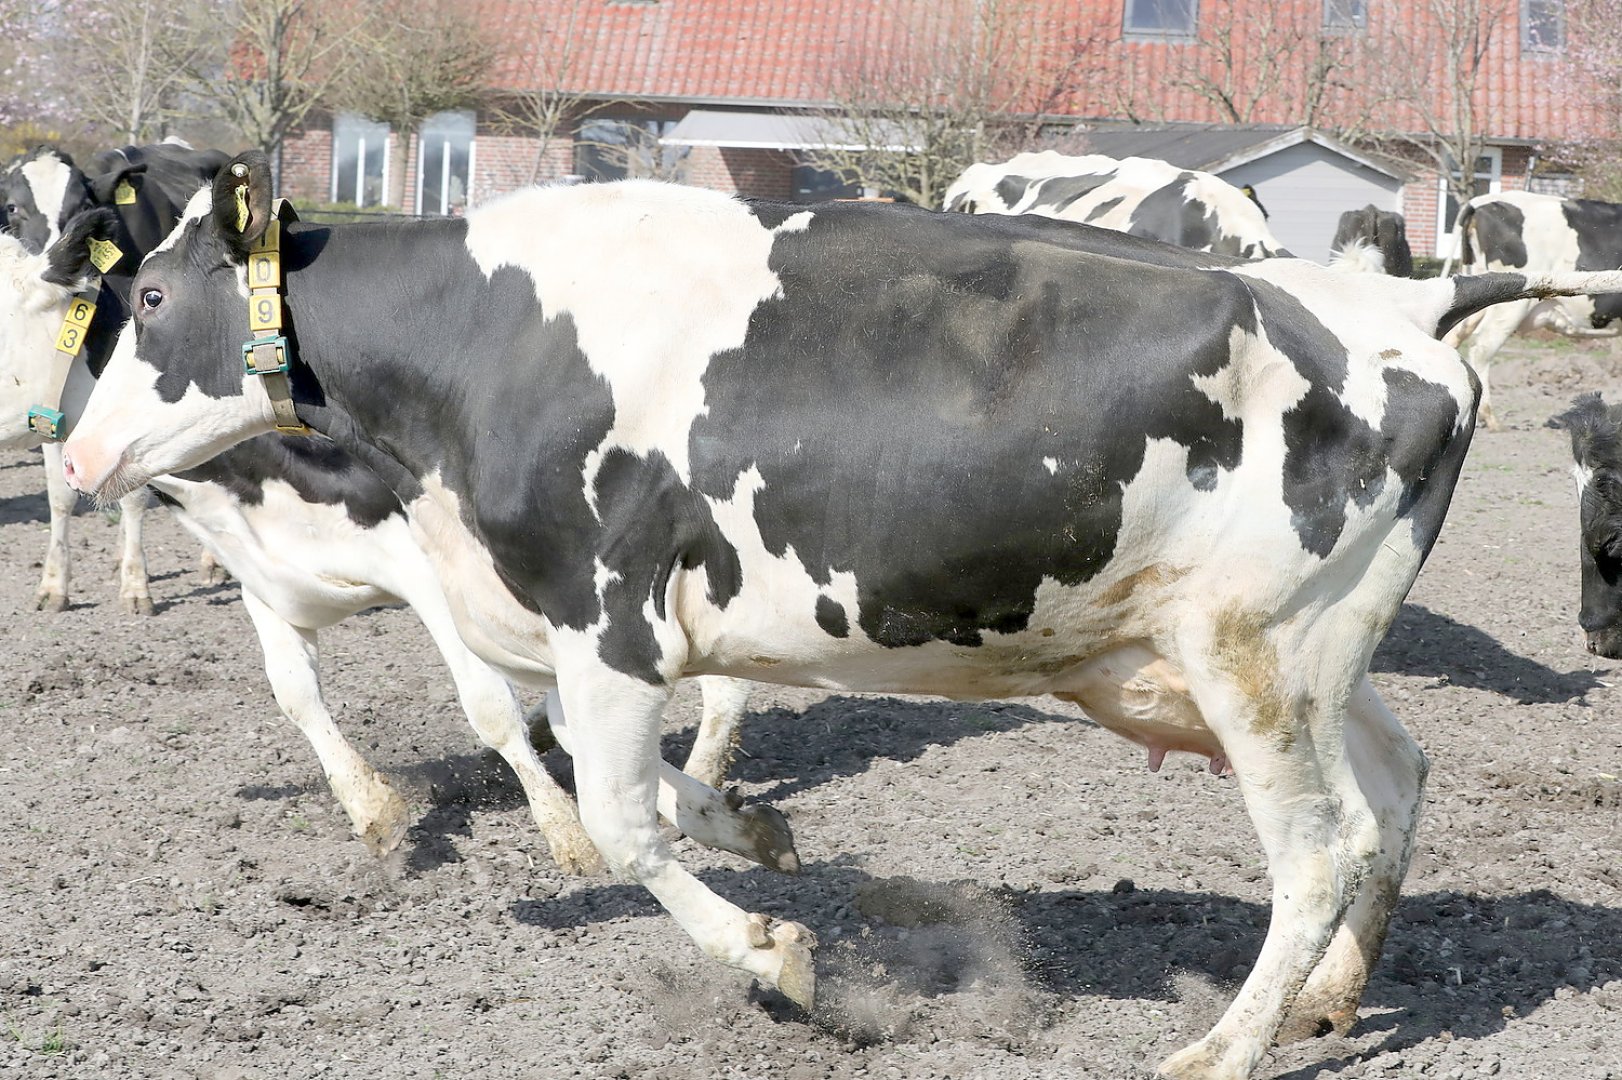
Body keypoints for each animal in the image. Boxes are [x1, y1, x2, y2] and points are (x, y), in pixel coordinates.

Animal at [2, 207, 777, 873]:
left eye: (151, 301)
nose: (77, 458)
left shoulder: (435, 572)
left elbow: (489, 706)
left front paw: (568, 834)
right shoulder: (261, 578)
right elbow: (295, 695)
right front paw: (375, 810)